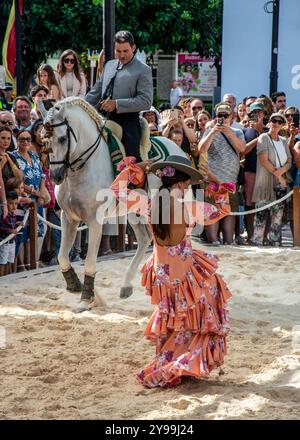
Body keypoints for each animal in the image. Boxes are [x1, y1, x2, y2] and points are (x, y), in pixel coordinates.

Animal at [39, 97, 185, 312]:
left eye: (63, 139)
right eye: (44, 140)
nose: (56, 176)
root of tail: (177, 148)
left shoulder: (94, 221)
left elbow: (90, 262)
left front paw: (86, 298)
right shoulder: (69, 218)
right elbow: (62, 257)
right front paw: (76, 286)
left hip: (166, 209)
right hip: (135, 212)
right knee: (144, 239)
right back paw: (126, 286)